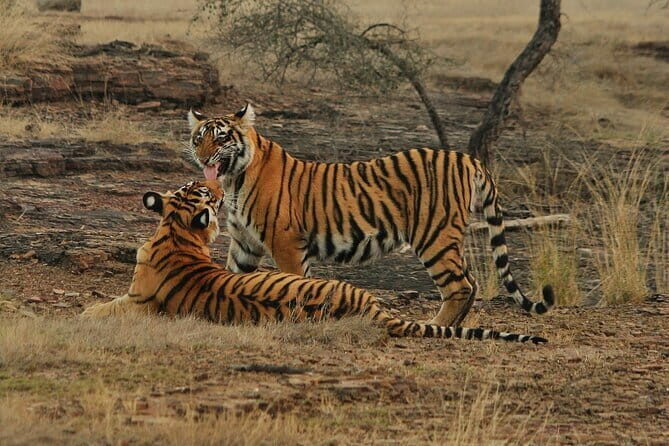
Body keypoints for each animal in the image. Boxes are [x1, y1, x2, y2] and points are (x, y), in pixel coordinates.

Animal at [81, 180, 547, 344]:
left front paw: (85, 313)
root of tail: (371, 308)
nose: (219, 190)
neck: (177, 232)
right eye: (200, 190)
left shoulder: (137, 302)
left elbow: (103, 307)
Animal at [186, 104, 554, 328]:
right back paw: (450, 328)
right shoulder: (244, 244)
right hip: (446, 238)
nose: (202, 157)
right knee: (472, 282)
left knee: (460, 286)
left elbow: (296, 283)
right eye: (198, 138)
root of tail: (467, 158)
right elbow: (230, 279)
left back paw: (435, 327)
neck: (234, 179)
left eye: (221, 138)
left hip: (434, 236)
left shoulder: (286, 242)